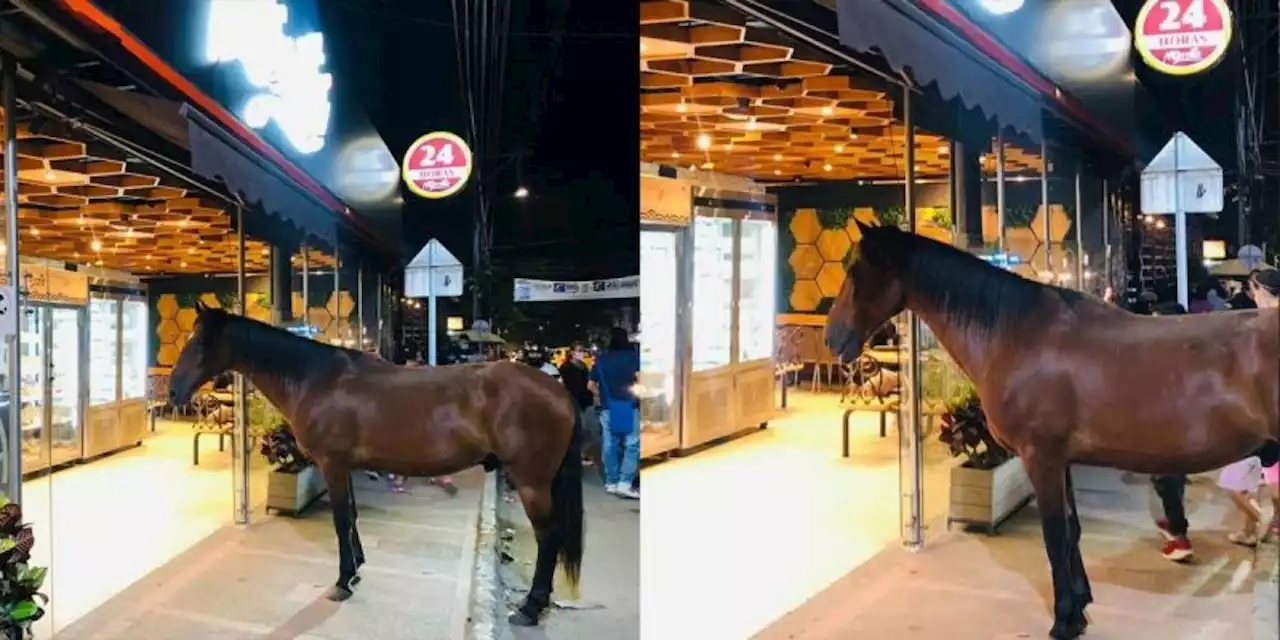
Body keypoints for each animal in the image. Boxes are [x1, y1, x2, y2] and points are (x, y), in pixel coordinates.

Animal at [167, 304, 583, 624]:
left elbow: (340, 520)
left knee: (549, 537)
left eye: (202, 341)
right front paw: (357, 570)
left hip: (532, 482)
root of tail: (559, 390)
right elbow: (351, 516)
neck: (315, 378)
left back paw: (530, 607)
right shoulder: (345, 466)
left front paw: (342, 581)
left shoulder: (332, 465)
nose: (173, 391)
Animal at [824, 221, 1274, 640]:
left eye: (857, 270)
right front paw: (1081, 603)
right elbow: (1072, 532)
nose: (833, 339)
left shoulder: (1040, 459)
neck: (1016, 333)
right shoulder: (1062, 461)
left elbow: (1055, 537)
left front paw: (1064, 621)